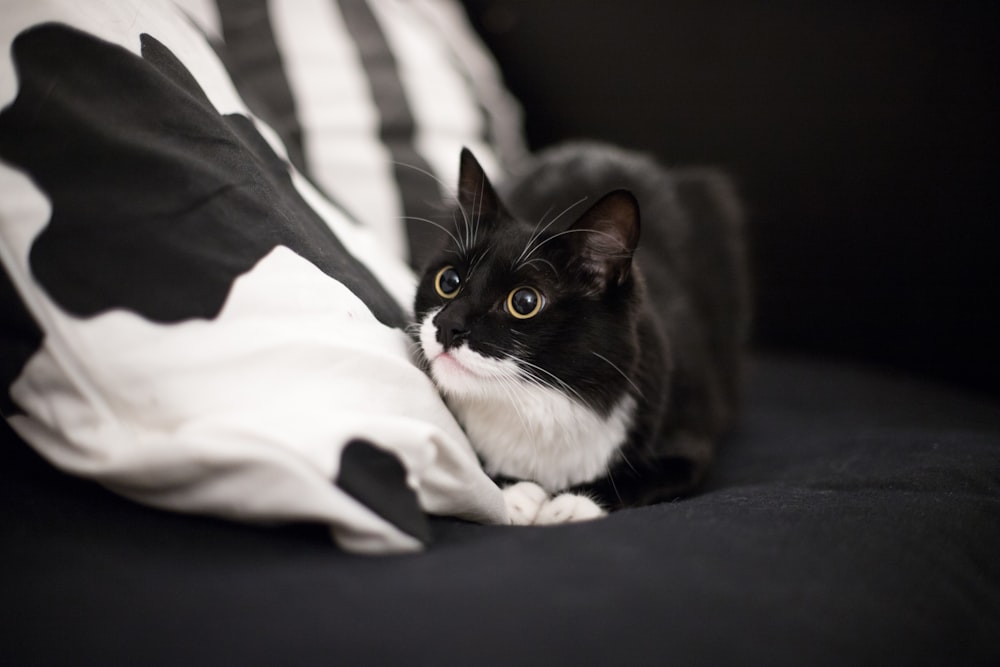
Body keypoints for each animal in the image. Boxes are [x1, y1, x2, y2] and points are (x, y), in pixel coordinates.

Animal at [410, 144, 748, 524]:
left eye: (524, 302)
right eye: (449, 280)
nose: (447, 325)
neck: (538, 399)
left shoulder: (688, 429)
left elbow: (657, 471)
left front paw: (572, 503)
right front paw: (513, 493)